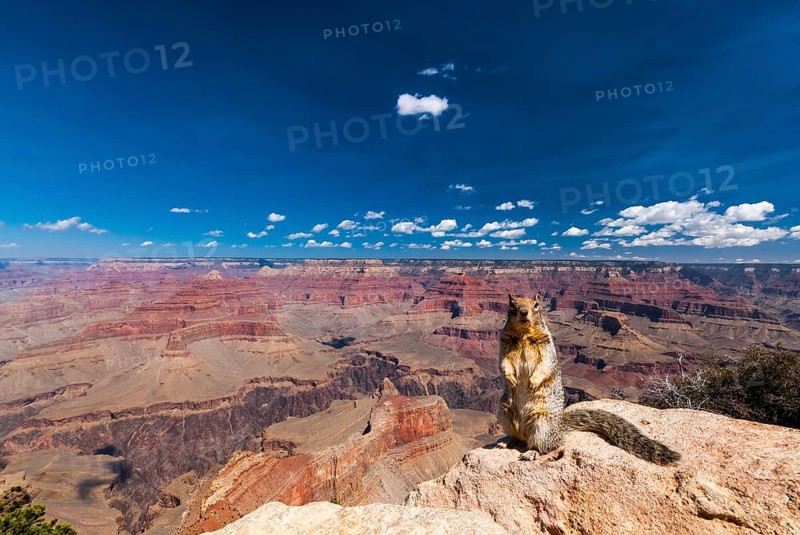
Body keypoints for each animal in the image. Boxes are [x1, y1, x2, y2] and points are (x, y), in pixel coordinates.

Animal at [497, 294, 680, 465]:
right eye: (511, 304)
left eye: (536, 304)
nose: (523, 312)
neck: (523, 335)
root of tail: (559, 428)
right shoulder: (504, 341)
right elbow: (503, 363)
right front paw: (511, 379)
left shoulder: (547, 346)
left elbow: (545, 365)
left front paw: (532, 382)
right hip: (505, 413)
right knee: (518, 437)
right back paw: (506, 442)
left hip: (541, 424)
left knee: (545, 446)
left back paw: (531, 452)